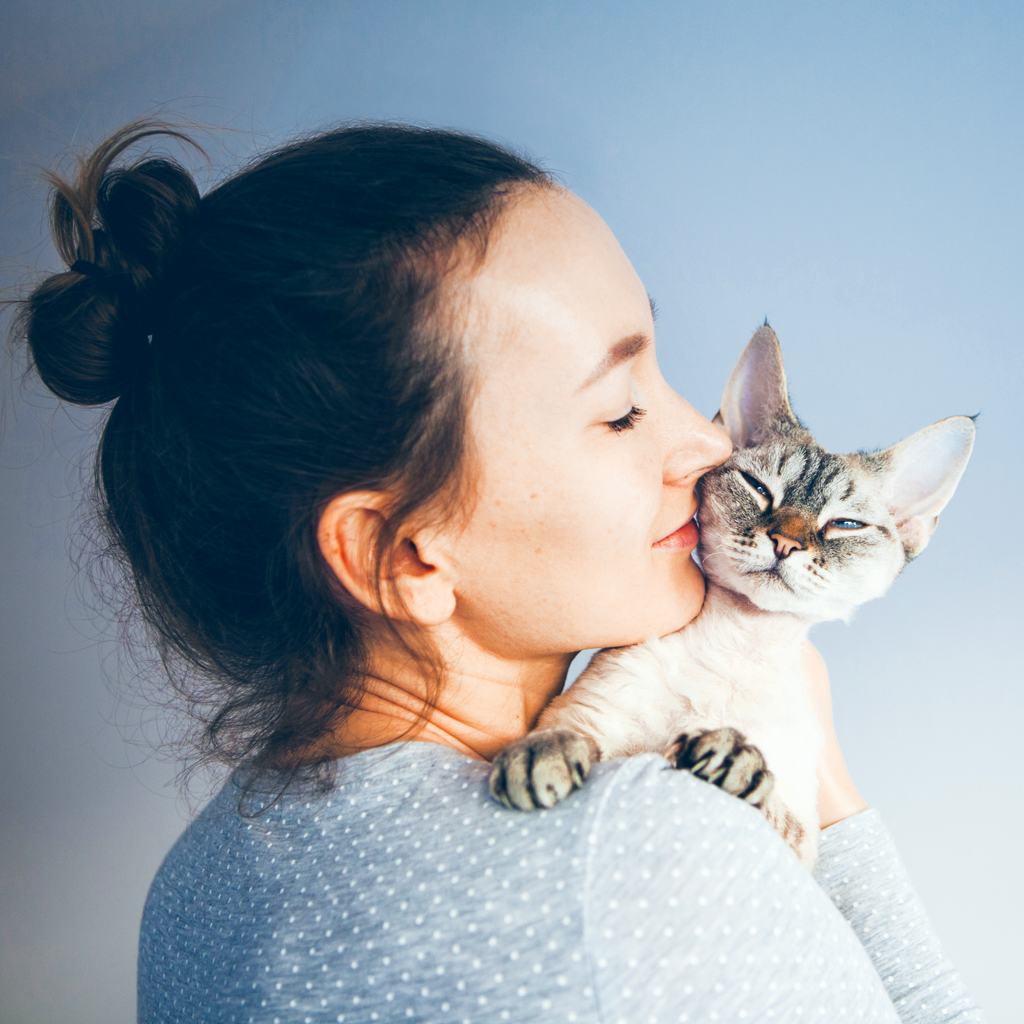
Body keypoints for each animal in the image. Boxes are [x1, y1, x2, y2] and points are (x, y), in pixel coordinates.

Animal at [489, 323, 974, 868]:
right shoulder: (589, 714)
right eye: (759, 489)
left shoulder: (800, 841)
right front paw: (540, 756)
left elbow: (771, 803)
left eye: (844, 525)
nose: (785, 543)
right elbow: (568, 733)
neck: (740, 644)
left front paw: (731, 757)